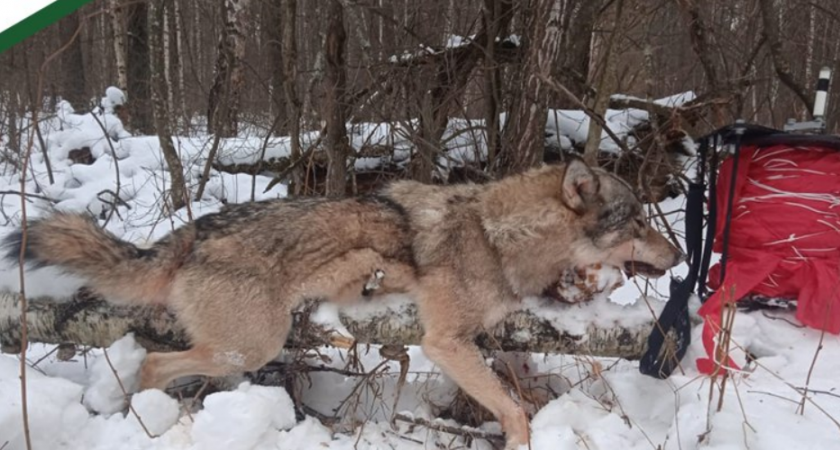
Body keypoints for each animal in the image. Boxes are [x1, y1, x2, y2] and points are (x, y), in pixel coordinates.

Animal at [3, 157, 684, 446]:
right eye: (638, 221)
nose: (680, 255)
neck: (496, 236)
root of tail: (192, 231)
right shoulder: (445, 342)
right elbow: (514, 413)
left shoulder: (476, 341)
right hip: (251, 346)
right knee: (152, 361)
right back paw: (145, 418)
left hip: (242, 349)